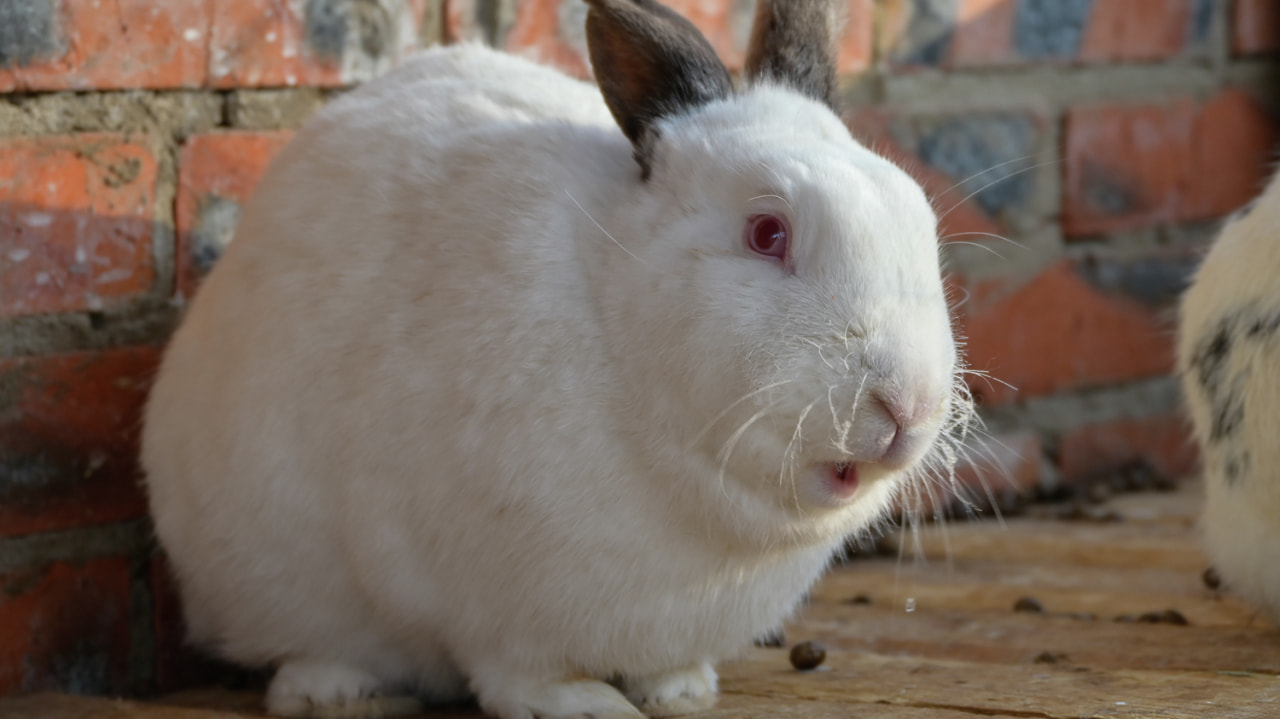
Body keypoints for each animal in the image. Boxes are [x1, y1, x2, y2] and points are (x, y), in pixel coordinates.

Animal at [140, 1, 962, 716]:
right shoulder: (487, 601)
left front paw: (681, 691)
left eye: (918, 214)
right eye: (767, 233)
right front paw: (588, 705)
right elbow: (518, 676)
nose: (908, 405)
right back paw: (337, 689)